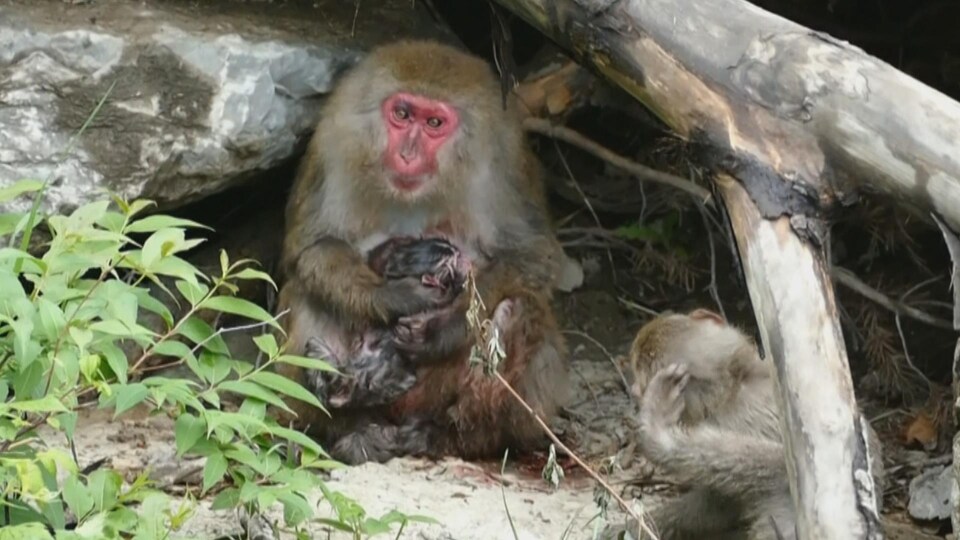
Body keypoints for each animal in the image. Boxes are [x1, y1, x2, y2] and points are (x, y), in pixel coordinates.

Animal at [273, 39, 569, 465]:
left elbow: (533, 256)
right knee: (308, 294)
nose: (408, 154)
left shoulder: (506, 162)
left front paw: (443, 329)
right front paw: (392, 295)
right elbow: (310, 248)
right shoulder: (331, 146)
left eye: (434, 123)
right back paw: (351, 420)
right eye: (402, 114)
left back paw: (449, 437)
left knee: (519, 309)